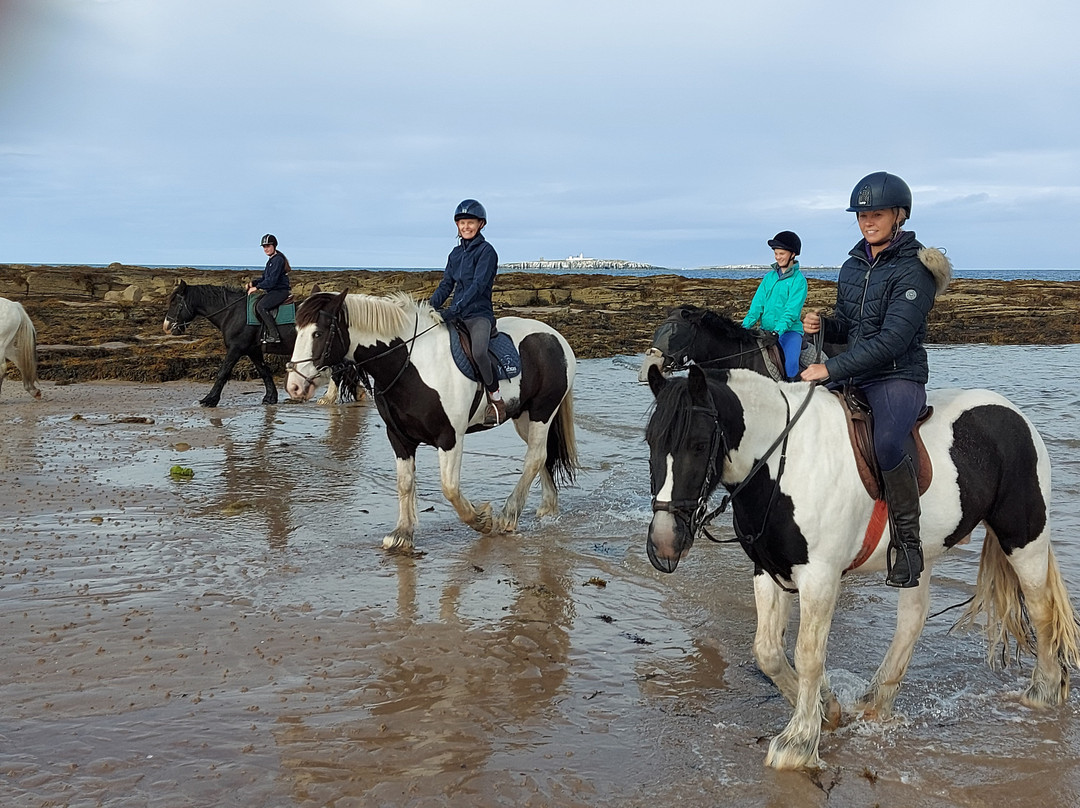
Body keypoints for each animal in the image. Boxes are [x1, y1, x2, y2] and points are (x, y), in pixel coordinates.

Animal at [282, 287, 578, 553]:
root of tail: (557, 338)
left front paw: (482, 520)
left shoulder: (450, 437)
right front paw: (402, 534)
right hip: (523, 417)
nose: (294, 386)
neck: (411, 364)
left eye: (318, 333)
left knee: (535, 457)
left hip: (542, 412)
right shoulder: (398, 437)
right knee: (542, 455)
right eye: (297, 332)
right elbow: (405, 483)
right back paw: (547, 507)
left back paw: (508, 515)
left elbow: (449, 488)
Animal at [643, 365, 1075, 769]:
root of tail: (1015, 415)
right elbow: (768, 651)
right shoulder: (770, 570)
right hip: (919, 558)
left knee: (1041, 609)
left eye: (698, 444)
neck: (785, 462)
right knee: (912, 620)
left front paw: (798, 742)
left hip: (1024, 539)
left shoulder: (819, 576)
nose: (664, 543)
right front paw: (826, 709)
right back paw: (875, 700)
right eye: (651, 442)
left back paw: (1044, 691)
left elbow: (808, 653)